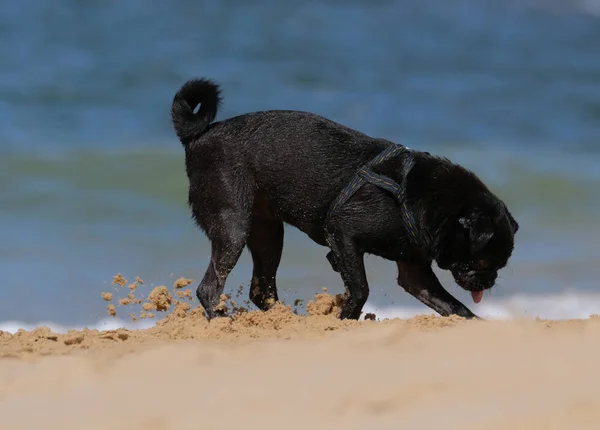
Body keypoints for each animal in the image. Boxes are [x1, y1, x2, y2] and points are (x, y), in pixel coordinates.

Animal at [171, 78, 516, 320]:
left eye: (500, 264)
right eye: (484, 261)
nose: (490, 281)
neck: (422, 197)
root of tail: (198, 137)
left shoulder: (414, 272)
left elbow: (455, 308)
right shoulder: (343, 235)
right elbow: (360, 289)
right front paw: (345, 318)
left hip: (268, 234)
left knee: (262, 290)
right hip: (234, 227)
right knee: (209, 288)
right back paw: (221, 320)